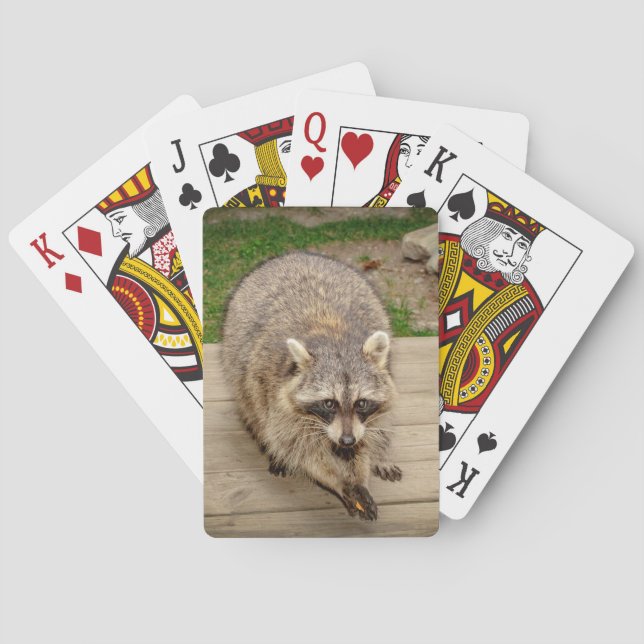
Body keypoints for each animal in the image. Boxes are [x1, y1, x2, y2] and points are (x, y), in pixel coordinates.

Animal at [221, 251, 400, 520]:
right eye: (328, 403)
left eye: (361, 402)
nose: (346, 441)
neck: (333, 335)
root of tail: (295, 254)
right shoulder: (275, 393)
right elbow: (300, 449)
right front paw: (337, 481)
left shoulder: (367, 414)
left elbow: (367, 437)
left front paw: (361, 472)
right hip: (240, 366)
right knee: (252, 409)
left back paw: (381, 454)